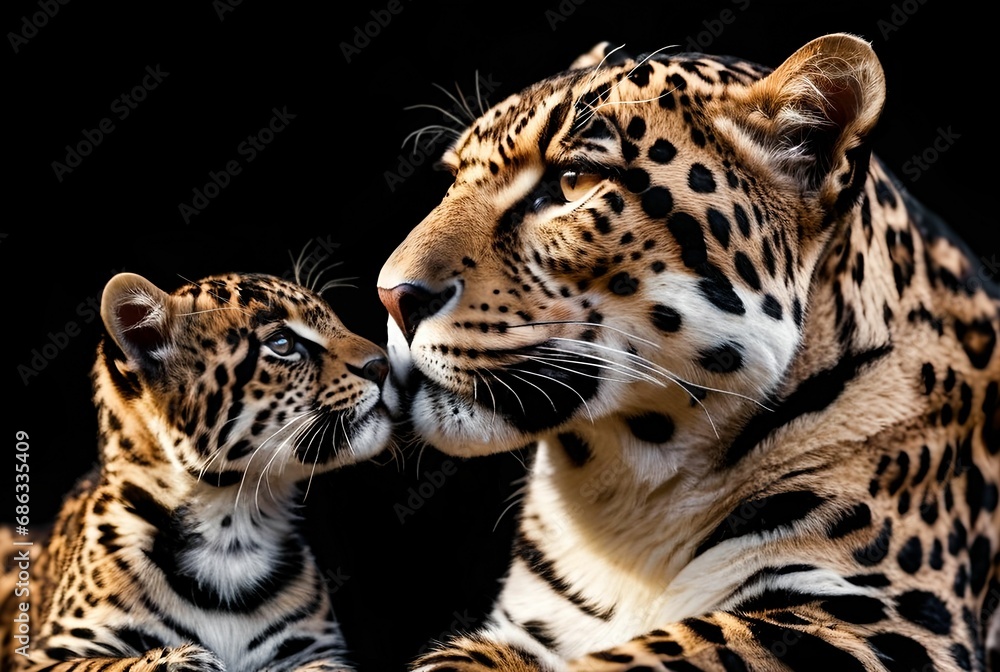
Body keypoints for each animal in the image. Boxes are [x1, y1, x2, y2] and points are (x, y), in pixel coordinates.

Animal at [1, 269, 392, 671]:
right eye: (282, 344)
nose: (383, 365)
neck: (232, 526)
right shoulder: (42, 656)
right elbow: (112, 663)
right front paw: (184, 659)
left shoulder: (317, 652)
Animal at [376, 33, 1000, 671]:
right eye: (454, 178)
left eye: (573, 181)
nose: (391, 295)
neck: (623, 508)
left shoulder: (887, 619)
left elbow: (675, 647)